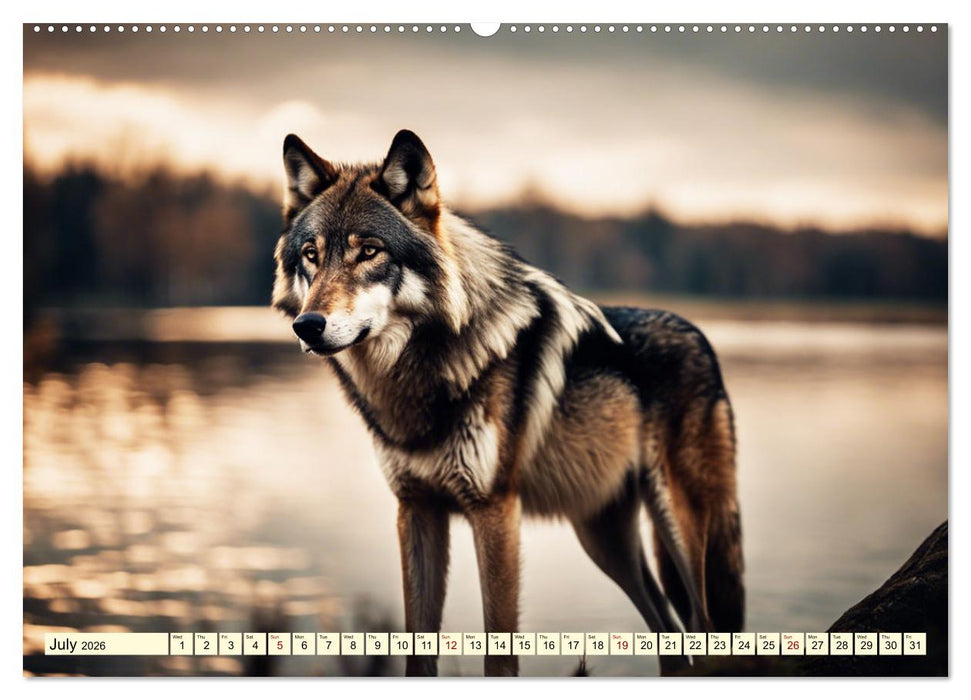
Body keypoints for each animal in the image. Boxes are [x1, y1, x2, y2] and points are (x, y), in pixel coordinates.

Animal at [272, 130, 744, 676]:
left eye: (369, 251)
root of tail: (702, 338)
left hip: (678, 525)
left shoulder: (494, 509)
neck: (419, 380)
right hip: (605, 542)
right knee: (671, 633)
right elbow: (418, 648)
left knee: (704, 628)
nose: (307, 326)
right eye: (311, 254)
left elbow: (499, 651)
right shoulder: (416, 509)